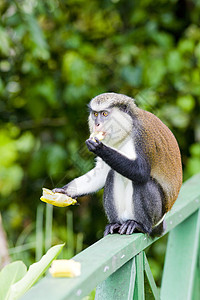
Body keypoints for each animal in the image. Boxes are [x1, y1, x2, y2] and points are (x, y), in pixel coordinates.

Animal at [53, 92, 183, 236]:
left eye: (104, 114)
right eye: (95, 114)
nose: (97, 124)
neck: (128, 129)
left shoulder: (140, 137)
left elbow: (141, 172)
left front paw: (99, 148)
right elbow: (102, 173)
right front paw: (65, 192)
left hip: (157, 215)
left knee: (143, 182)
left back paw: (139, 225)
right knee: (112, 174)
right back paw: (115, 224)